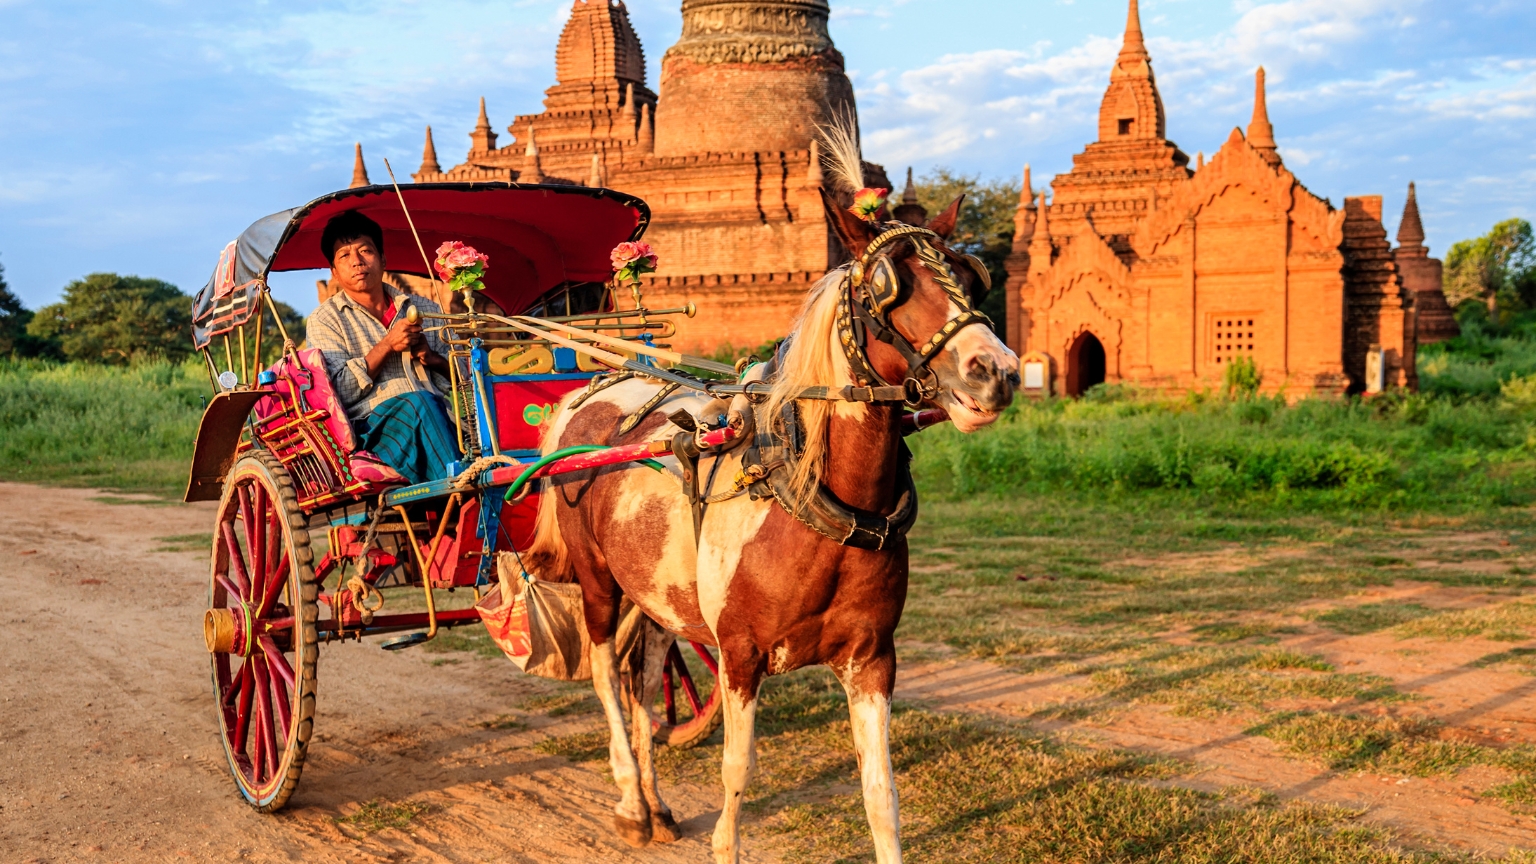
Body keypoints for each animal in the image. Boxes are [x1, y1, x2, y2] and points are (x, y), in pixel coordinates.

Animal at [525, 166, 1018, 862]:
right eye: (886, 286)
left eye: (970, 276)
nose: (996, 372)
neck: (815, 506)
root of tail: (588, 395)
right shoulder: (740, 655)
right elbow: (737, 772)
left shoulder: (873, 660)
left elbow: (881, 794)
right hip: (599, 582)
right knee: (604, 677)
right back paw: (630, 801)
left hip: (656, 592)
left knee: (644, 677)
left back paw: (655, 801)